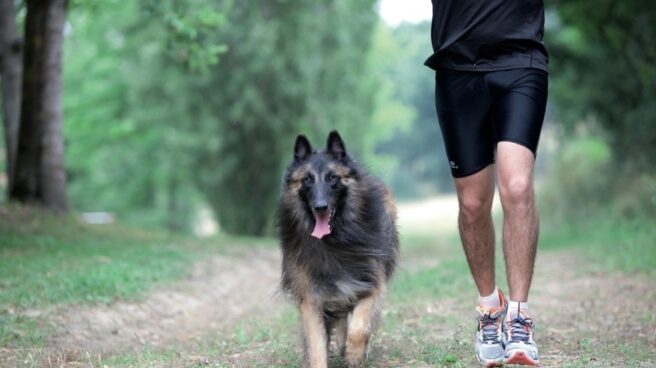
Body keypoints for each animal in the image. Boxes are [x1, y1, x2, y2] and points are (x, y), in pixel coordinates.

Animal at [278, 132, 400, 368]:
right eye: (307, 179)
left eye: (332, 178)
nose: (320, 207)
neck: (335, 242)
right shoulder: (311, 299)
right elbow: (317, 345)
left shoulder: (370, 284)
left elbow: (360, 327)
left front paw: (355, 355)